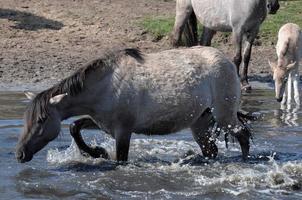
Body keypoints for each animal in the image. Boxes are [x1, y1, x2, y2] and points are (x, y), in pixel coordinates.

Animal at [16, 47, 252, 164]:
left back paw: (244, 161)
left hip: (225, 115)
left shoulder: (123, 131)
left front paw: (100, 153)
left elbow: (121, 160)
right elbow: (75, 127)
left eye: (41, 120)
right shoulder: (102, 123)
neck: (106, 85)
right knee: (211, 149)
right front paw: (97, 152)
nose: (20, 154)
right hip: (200, 122)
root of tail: (227, 61)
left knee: (242, 135)